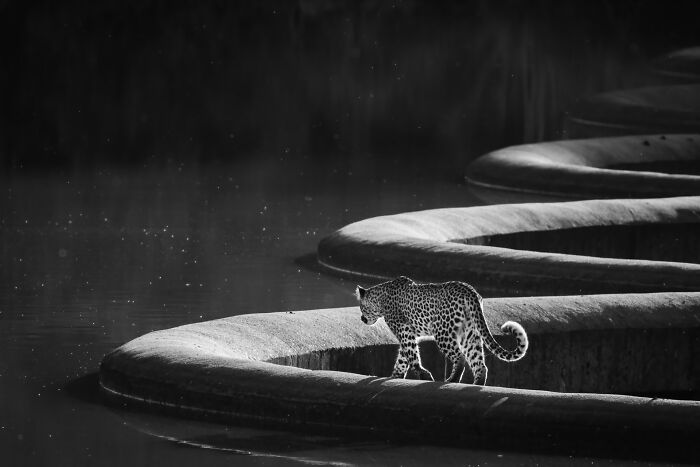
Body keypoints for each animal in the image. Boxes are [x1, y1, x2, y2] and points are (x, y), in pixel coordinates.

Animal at [355, 276, 528, 385]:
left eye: (361, 307)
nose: (362, 319)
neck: (380, 299)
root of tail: (470, 290)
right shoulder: (408, 333)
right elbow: (404, 357)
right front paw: (395, 376)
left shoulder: (404, 330)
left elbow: (411, 354)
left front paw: (423, 375)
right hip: (469, 333)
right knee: (479, 363)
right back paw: (476, 384)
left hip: (442, 332)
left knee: (460, 357)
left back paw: (452, 380)